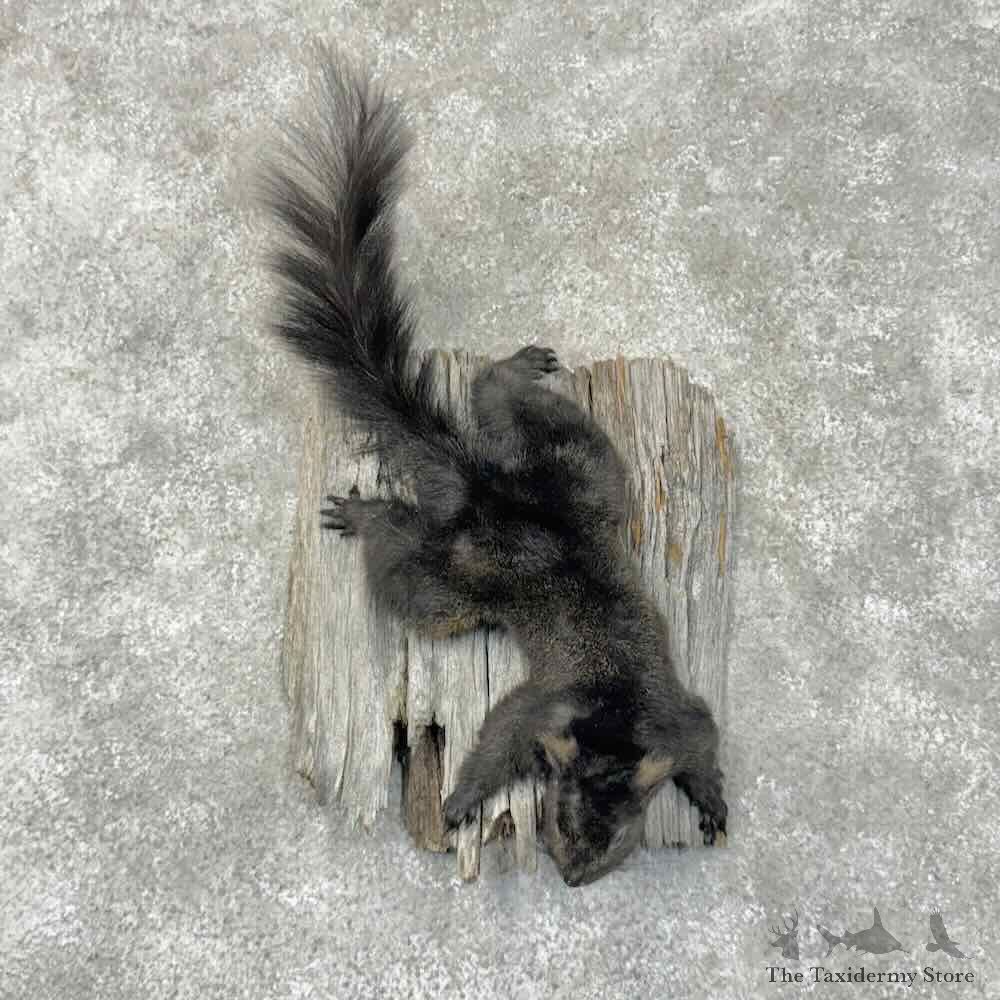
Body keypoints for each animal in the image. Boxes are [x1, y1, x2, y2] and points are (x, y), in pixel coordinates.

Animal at [258, 48, 728, 886]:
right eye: (557, 815)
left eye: (620, 837)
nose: (572, 880)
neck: (615, 722)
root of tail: (490, 491)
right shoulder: (541, 709)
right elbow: (498, 735)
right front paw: (463, 800)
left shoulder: (681, 719)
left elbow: (702, 743)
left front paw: (707, 796)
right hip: (453, 584)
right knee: (408, 565)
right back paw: (373, 513)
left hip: (584, 469)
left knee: (503, 405)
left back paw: (509, 373)